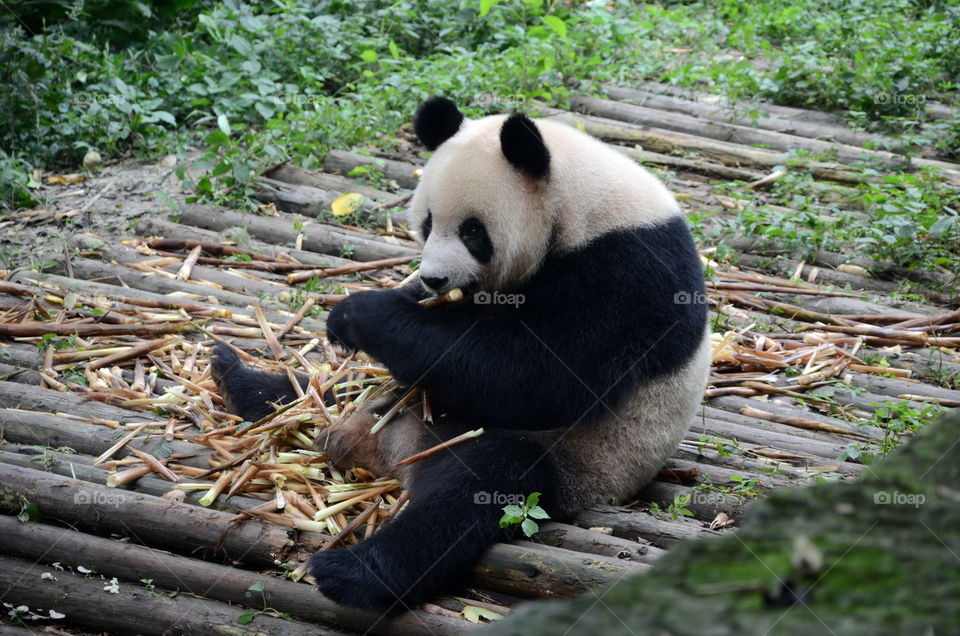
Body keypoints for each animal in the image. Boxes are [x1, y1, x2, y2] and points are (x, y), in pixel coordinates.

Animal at [211, 96, 711, 610]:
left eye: (474, 231)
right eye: (428, 223)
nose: (433, 278)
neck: (578, 203)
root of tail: (393, 452)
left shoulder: (626, 272)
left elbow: (537, 373)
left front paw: (364, 314)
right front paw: (353, 318)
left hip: (575, 456)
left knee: (474, 488)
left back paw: (354, 571)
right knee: (335, 391)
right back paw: (238, 379)